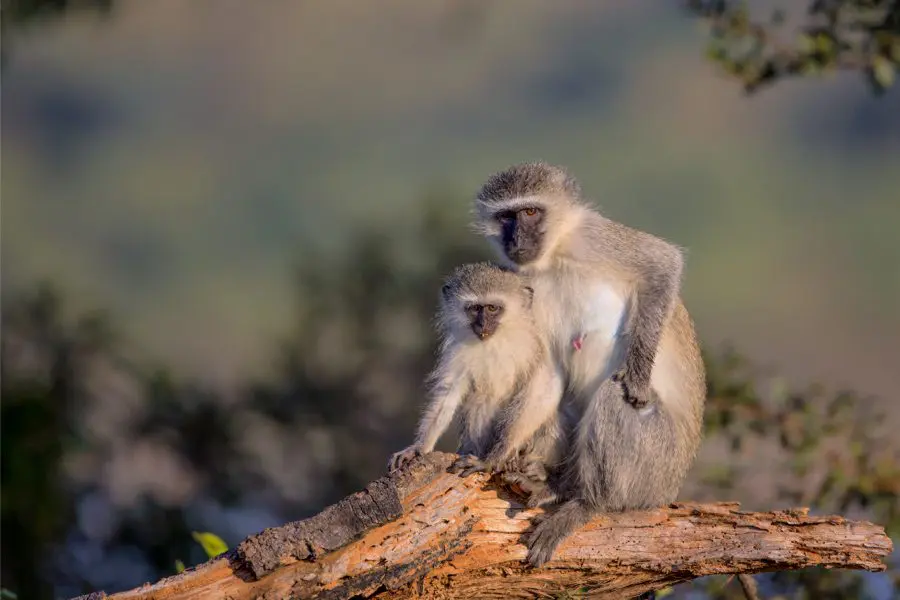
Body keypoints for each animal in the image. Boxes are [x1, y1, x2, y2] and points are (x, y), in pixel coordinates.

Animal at [474, 163, 708, 568]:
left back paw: (586, 502)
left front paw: (639, 375)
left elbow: (662, 263)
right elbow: (547, 371)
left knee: (615, 395)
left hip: (656, 468)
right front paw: (495, 455)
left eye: (531, 212)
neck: (555, 257)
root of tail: (670, 490)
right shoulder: (525, 287)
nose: (516, 239)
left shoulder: (594, 238)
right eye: (506, 217)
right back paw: (554, 485)